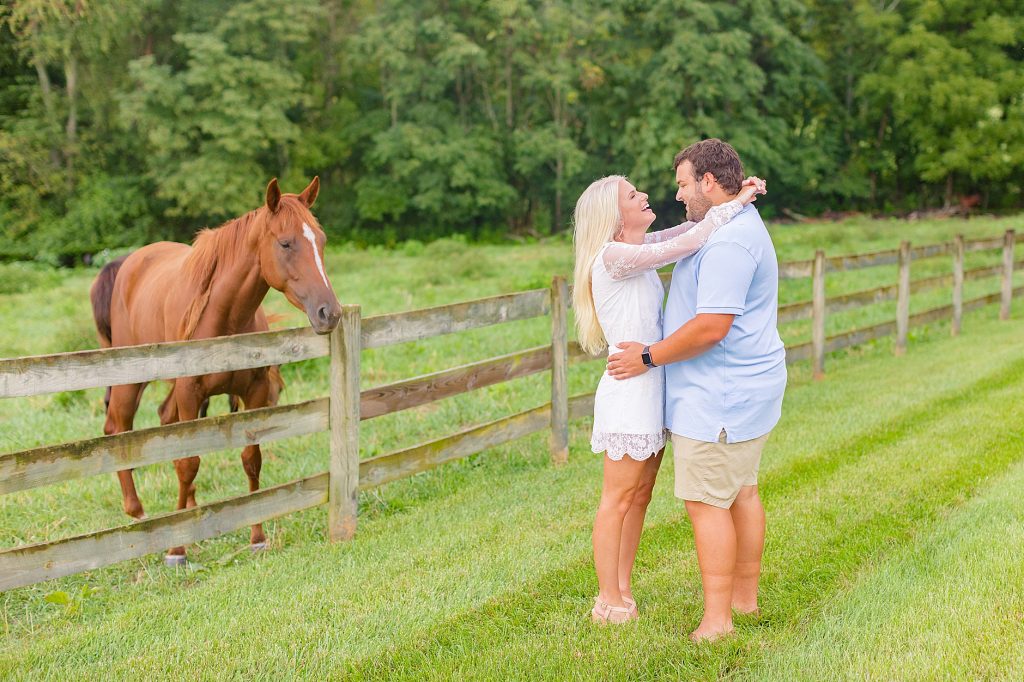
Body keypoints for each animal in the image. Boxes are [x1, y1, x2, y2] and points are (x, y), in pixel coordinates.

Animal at [90, 176, 342, 561]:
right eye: (285, 243)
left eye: (322, 240)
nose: (329, 312)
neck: (223, 317)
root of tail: (129, 263)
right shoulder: (189, 392)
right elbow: (188, 462)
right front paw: (176, 548)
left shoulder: (252, 394)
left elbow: (251, 459)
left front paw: (257, 537)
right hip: (131, 379)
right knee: (117, 428)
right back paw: (137, 512)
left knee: (163, 421)